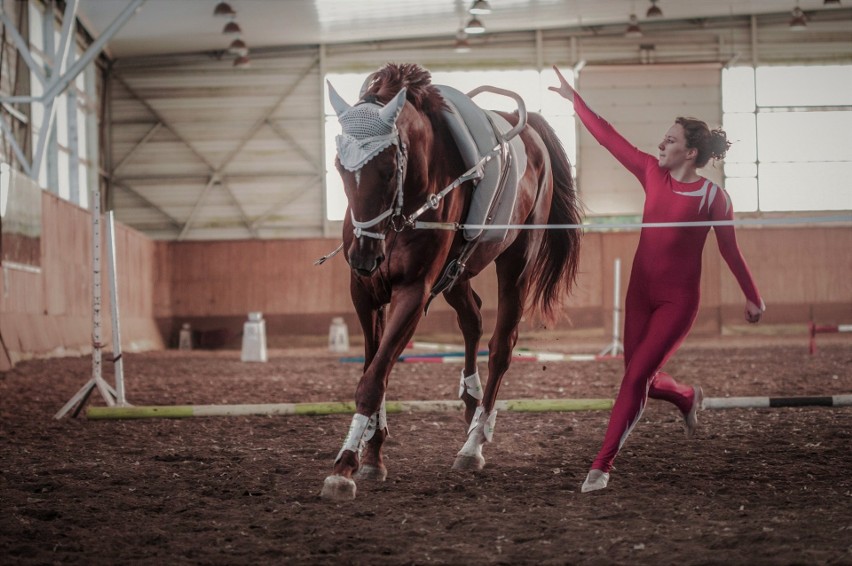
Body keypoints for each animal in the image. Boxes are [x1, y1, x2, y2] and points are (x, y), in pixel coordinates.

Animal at [322, 63, 584, 502]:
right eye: (342, 168)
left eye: (388, 170)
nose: (363, 258)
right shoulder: (365, 294)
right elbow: (375, 370)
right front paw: (372, 453)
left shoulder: (414, 292)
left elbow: (373, 379)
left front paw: (345, 466)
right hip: (458, 273)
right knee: (472, 318)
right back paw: (471, 403)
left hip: (516, 262)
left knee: (501, 346)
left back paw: (474, 442)